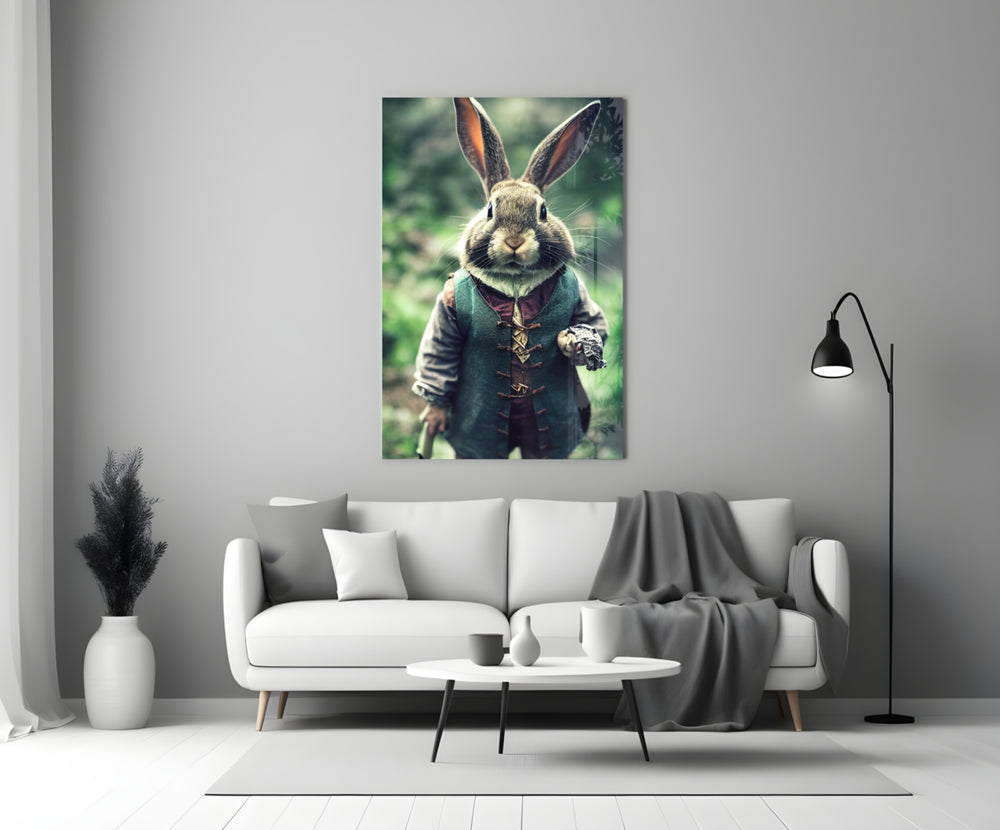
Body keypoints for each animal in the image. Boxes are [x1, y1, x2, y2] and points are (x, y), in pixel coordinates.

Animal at [412, 97, 609, 459]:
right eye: (491, 209)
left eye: (542, 211)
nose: (514, 241)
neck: (515, 282)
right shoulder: (447, 304)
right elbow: (440, 355)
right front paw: (434, 417)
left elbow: (595, 324)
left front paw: (575, 347)